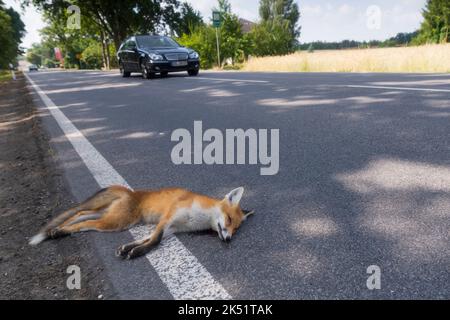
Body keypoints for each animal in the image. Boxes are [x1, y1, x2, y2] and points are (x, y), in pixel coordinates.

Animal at [29, 186, 253, 258]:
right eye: (229, 220)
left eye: (236, 229)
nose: (228, 239)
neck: (197, 219)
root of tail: (130, 192)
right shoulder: (168, 218)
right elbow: (154, 241)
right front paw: (137, 252)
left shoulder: (171, 229)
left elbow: (147, 238)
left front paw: (129, 248)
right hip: (115, 222)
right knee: (82, 225)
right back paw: (59, 231)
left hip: (106, 215)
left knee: (79, 214)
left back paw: (58, 229)